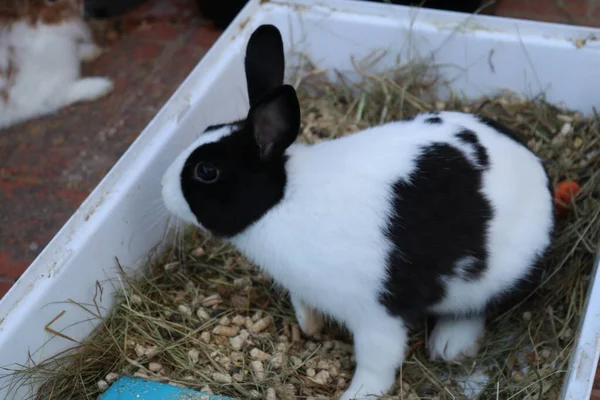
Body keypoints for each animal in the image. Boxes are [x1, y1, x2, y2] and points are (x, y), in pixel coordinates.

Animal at [161, 25, 552, 400]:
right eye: (207, 130)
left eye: (206, 171)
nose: (163, 188)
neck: (283, 200)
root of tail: (539, 173)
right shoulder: (305, 289)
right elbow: (304, 306)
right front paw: (310, 327)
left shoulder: (376, 315)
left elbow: (377, 361)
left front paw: (357, 394)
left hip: (491, 279)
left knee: (477, 308)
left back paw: (449, 345)